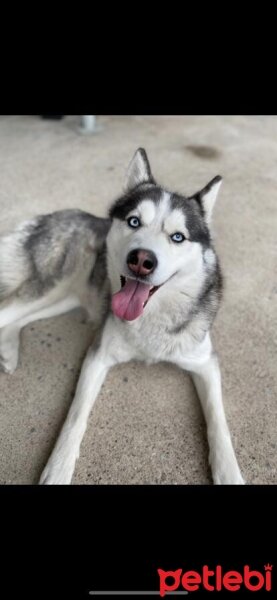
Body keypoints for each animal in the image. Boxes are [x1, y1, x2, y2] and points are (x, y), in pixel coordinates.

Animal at [0, 149, 244, 482]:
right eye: (134, 221)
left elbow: (219, 422)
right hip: (54, 283)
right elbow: (75, 416)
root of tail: (64, 213)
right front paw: (58, 468)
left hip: (66, 297)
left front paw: (229, 471)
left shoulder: (206, 363)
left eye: (178, 237)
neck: (150, 318)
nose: (141, 260)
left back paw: (9, 351)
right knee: (7, 309)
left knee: (16, 318)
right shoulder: (97, 356)